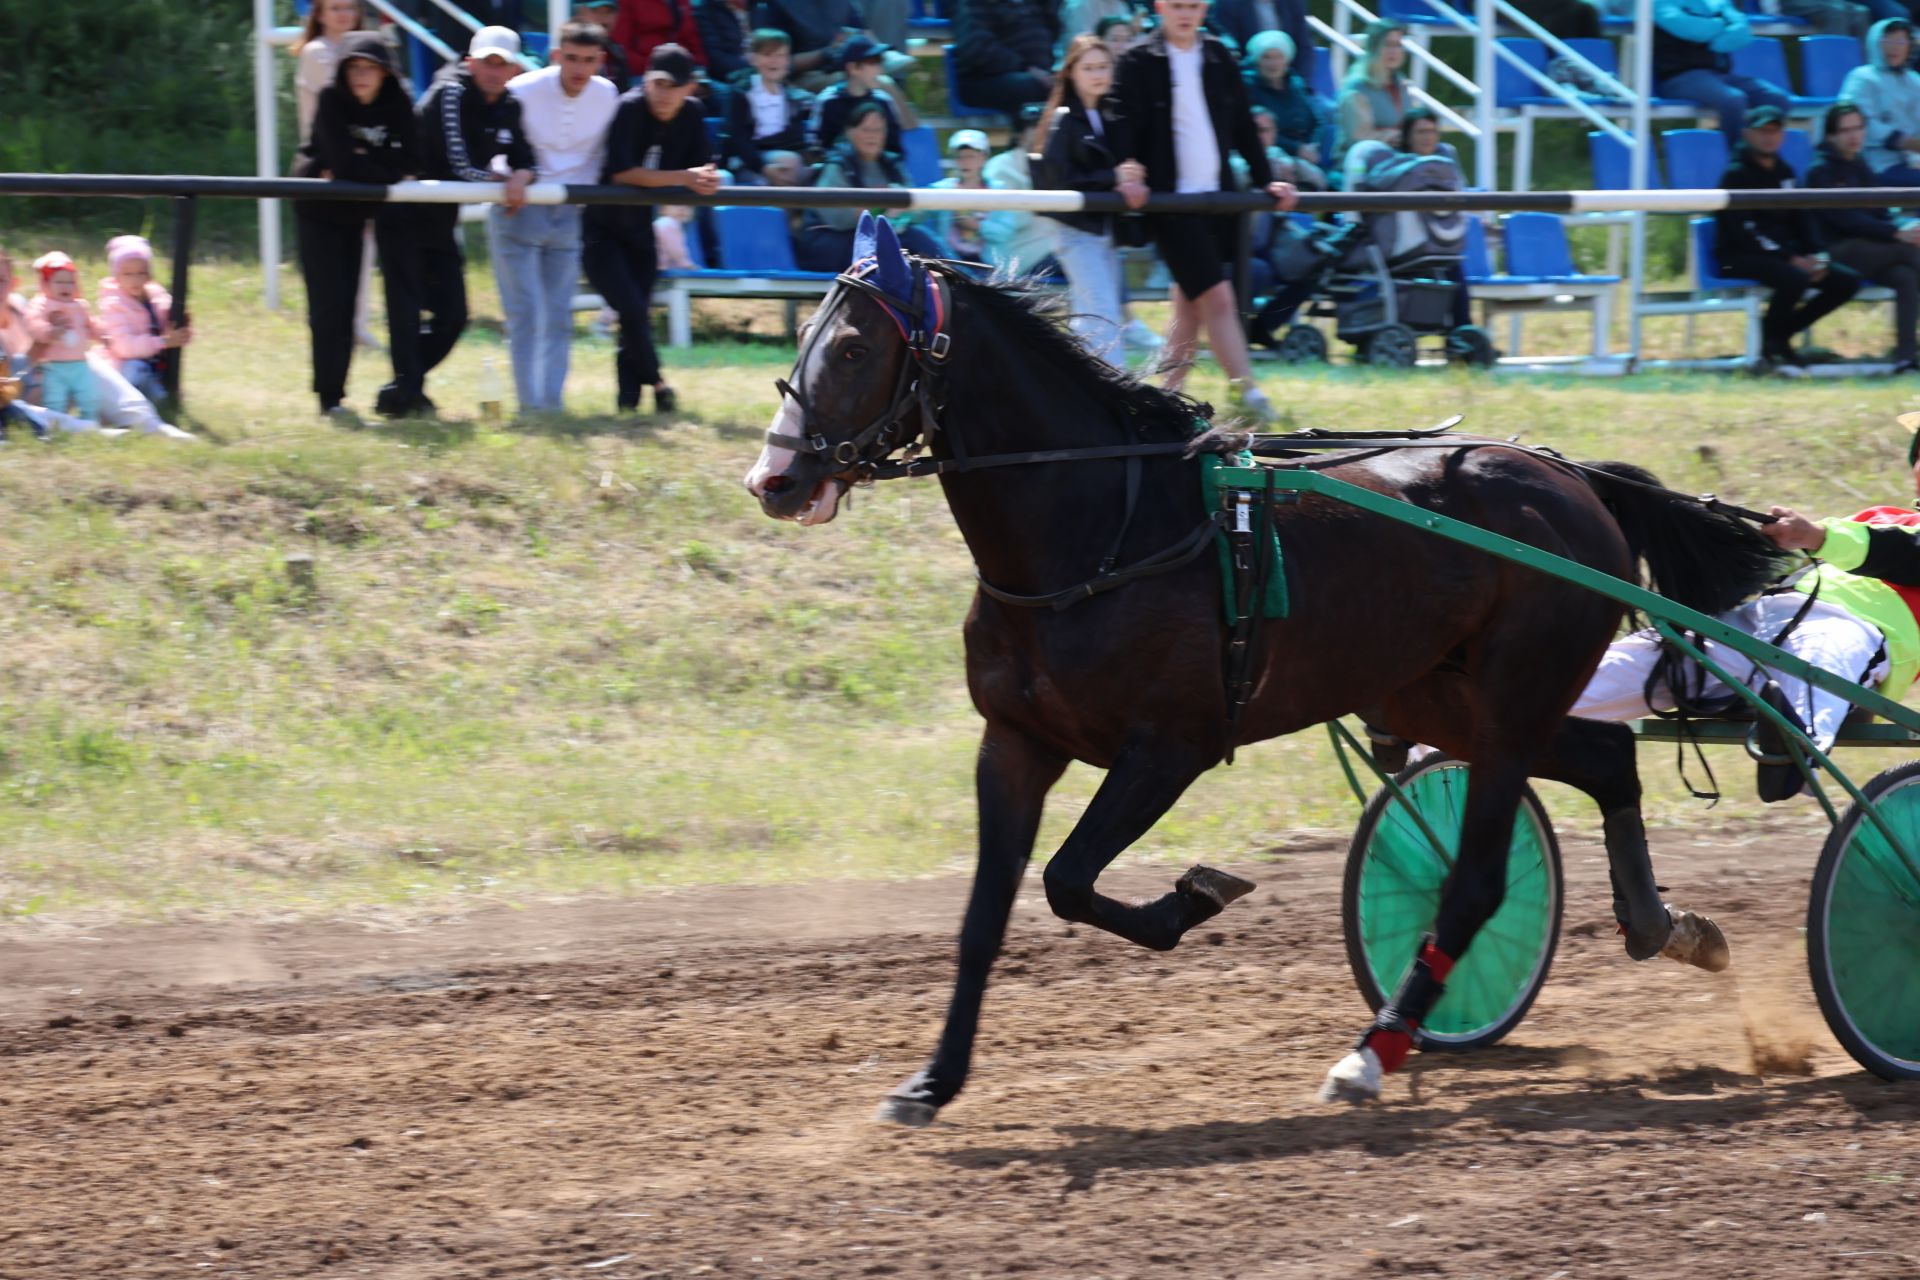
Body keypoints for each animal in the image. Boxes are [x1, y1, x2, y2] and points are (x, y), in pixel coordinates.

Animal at [744, 217, 1781, 1120]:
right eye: (804, 335)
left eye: (851, 349)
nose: (774, 480)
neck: (1102, 530)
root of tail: (1572, 478)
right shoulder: (1014, 743)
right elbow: (984, 917)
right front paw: (930, 1083)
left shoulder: (1172, 746)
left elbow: (1070, 880)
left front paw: (1196, 894)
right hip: (1441, 695)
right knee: (1610, 763)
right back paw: (1662, 925)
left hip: (1514, 693)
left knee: (1479, 879)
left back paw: (1375, 1049)